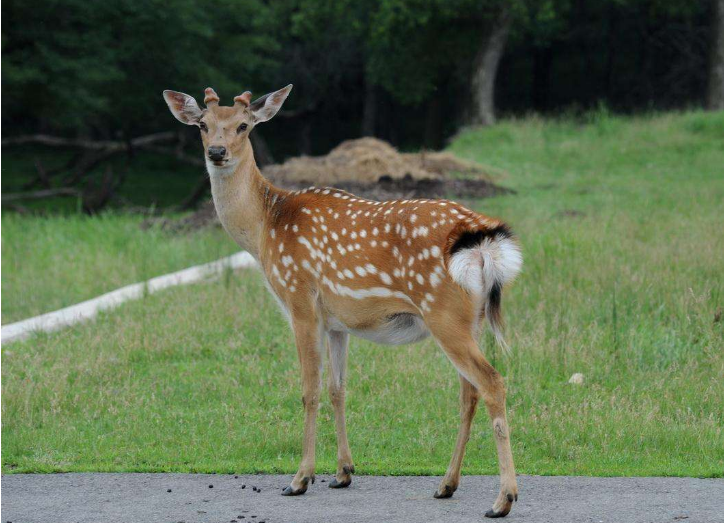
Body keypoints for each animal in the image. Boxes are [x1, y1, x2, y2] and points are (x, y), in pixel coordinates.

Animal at [165, 86, 524, 520]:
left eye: (243, 125)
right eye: (202, 124)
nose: (217, 151)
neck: (264, 229)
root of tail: (484, 239)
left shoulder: (300, 299)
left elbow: (309, 390)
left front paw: (300, 479)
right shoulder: (338, 322)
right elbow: (338, 389)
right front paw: (343, 473)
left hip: (443, 312)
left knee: (492, 382)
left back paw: (503, 499)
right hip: (469, 318)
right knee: (469, 393)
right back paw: (446, 485)